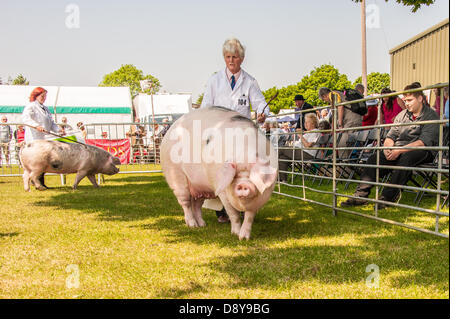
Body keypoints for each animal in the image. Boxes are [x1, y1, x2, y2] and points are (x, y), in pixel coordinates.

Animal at [158, 106, 278, 241]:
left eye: (250, 174)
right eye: (235, 175)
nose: (243, 184)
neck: (244, 153)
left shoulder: (258, 200)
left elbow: (249, 217)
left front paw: (244, 238)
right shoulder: (222, 192)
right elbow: (233, 214)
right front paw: (235, 234)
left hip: (201, 186)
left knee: (196, 205)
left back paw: (202, 225)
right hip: (175, 176)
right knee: (186, 203)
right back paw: (192, 225)